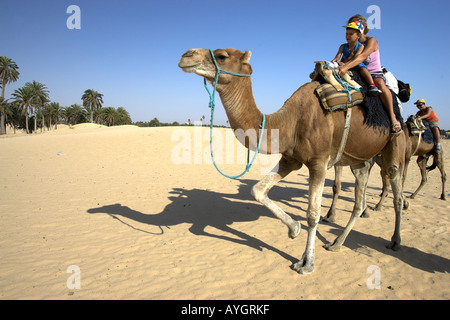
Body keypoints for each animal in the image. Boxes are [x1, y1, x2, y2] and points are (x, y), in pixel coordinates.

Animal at [178, 48, 406, 276]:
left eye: (222, 56)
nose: (186, 55)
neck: (291, 120)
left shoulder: (318, 162)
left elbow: (313, 214)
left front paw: (307, 263)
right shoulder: (290, 159)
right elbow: (257, 191)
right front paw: (294, 229)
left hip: (394, 142)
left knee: (395, 185)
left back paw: (395, 241)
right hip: (360, 159)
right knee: (359, 200)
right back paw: (336, 243)